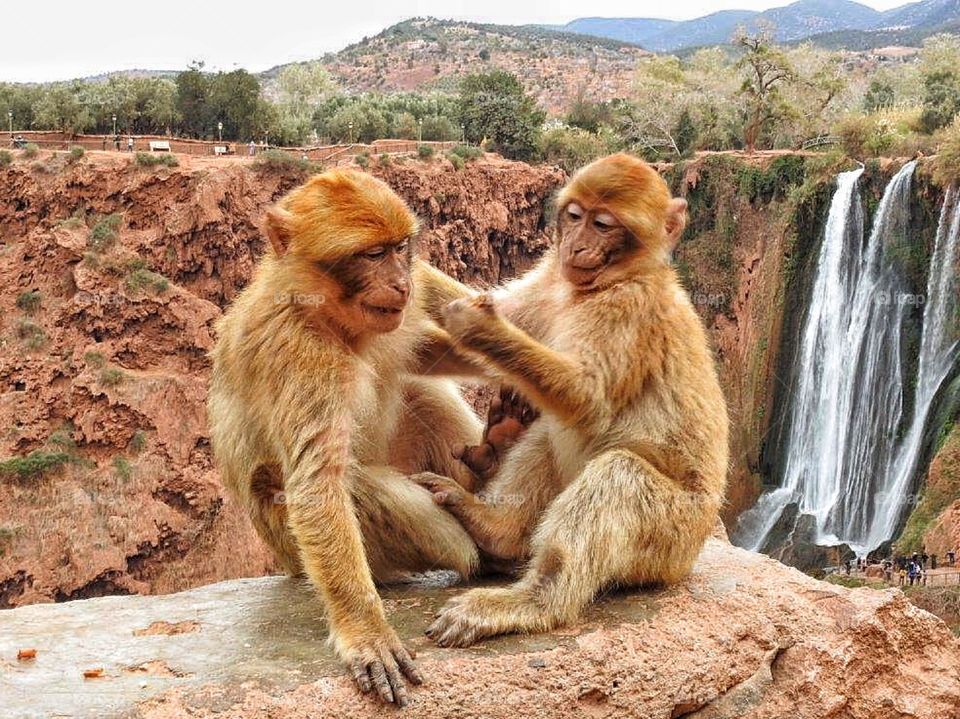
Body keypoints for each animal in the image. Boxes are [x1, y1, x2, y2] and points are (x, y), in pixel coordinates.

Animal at [208, 170, 488, 708]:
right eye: (372, 254)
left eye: (400, 248)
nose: (401, 282)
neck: (332, 318)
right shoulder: (296, 351)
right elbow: (317, 484)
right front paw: (365, 630)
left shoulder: (413, 300)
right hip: (301, 550)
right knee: (335, 482)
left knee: (421, 393)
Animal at [412, 155, 728, 648]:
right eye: (575, 216)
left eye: (603, 225)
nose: (576, 247)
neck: (602, 285)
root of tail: (687, 561)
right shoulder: (551, 281)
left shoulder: (629, 308)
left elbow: (588, 401)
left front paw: (481, 327)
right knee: (549, 432)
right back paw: (496, 530)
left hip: (671, 539)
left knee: (618, 473)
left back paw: (534, 602)